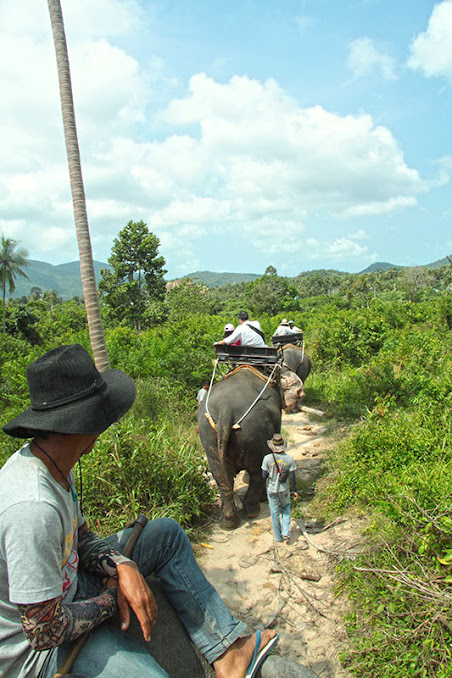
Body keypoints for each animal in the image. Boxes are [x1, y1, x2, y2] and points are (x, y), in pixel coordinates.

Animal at [198, 354, 310, 532]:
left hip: (209, 435)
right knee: (257, 471)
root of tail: (225, 412)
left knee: (221, 477)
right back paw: (252, 510)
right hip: (254, 430)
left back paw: (228, 523)